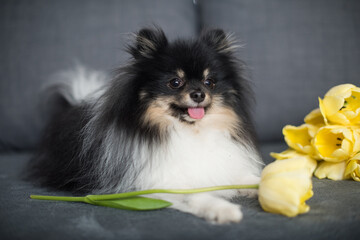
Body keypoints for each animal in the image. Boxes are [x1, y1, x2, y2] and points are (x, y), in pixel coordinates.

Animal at [28, 27, 262, 224]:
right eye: (175, 82)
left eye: (209, 82)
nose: (198, 94)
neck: (190, 132)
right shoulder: (158, 184)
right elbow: (196, 195)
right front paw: (224, 209)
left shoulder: (227, 168)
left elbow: (251, 179)